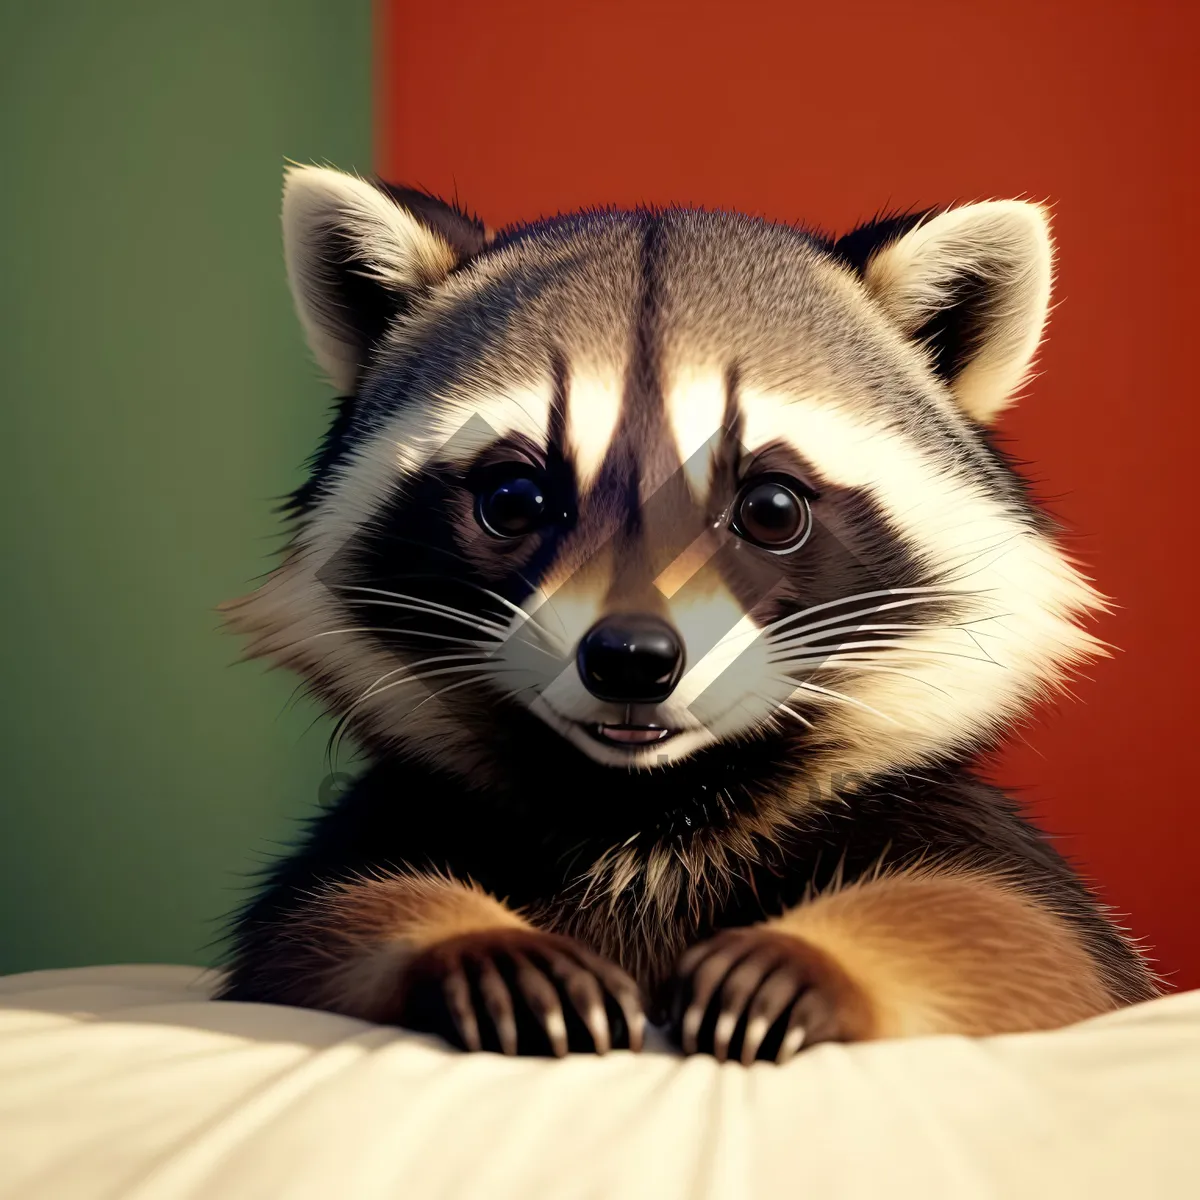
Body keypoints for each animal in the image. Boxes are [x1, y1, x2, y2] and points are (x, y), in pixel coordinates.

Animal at [220, 164, 1156, 1065]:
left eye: (771, 508)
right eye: (516, 499)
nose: (631, 657)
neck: (647, 811)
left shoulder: (962, 835)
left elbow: (1022, 937)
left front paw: (826, 955)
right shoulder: (382, 830)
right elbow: (321, 931)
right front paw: (463, 939)